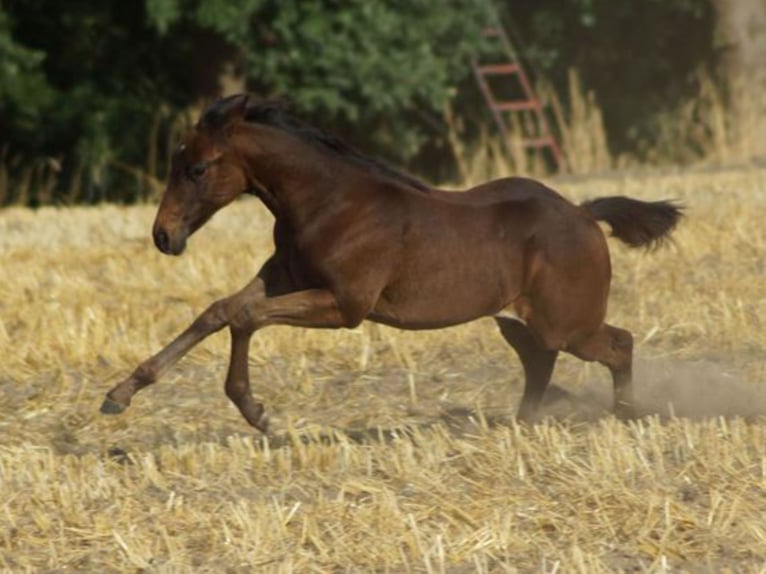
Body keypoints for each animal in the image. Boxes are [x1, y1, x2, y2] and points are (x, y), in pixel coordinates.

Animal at [101, 94, 682, 431]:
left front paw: (256, 413)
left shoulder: (345, 306)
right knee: (541, 361)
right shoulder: (283, 278)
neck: (328, 203)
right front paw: (119, 394)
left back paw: (627, 415)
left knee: (619, 343)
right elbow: (218, 312)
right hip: (519, 321)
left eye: (197, 168)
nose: (164, 236)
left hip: (568, 322)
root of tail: (584, 214)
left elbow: (243, 318)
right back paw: (521, 424)